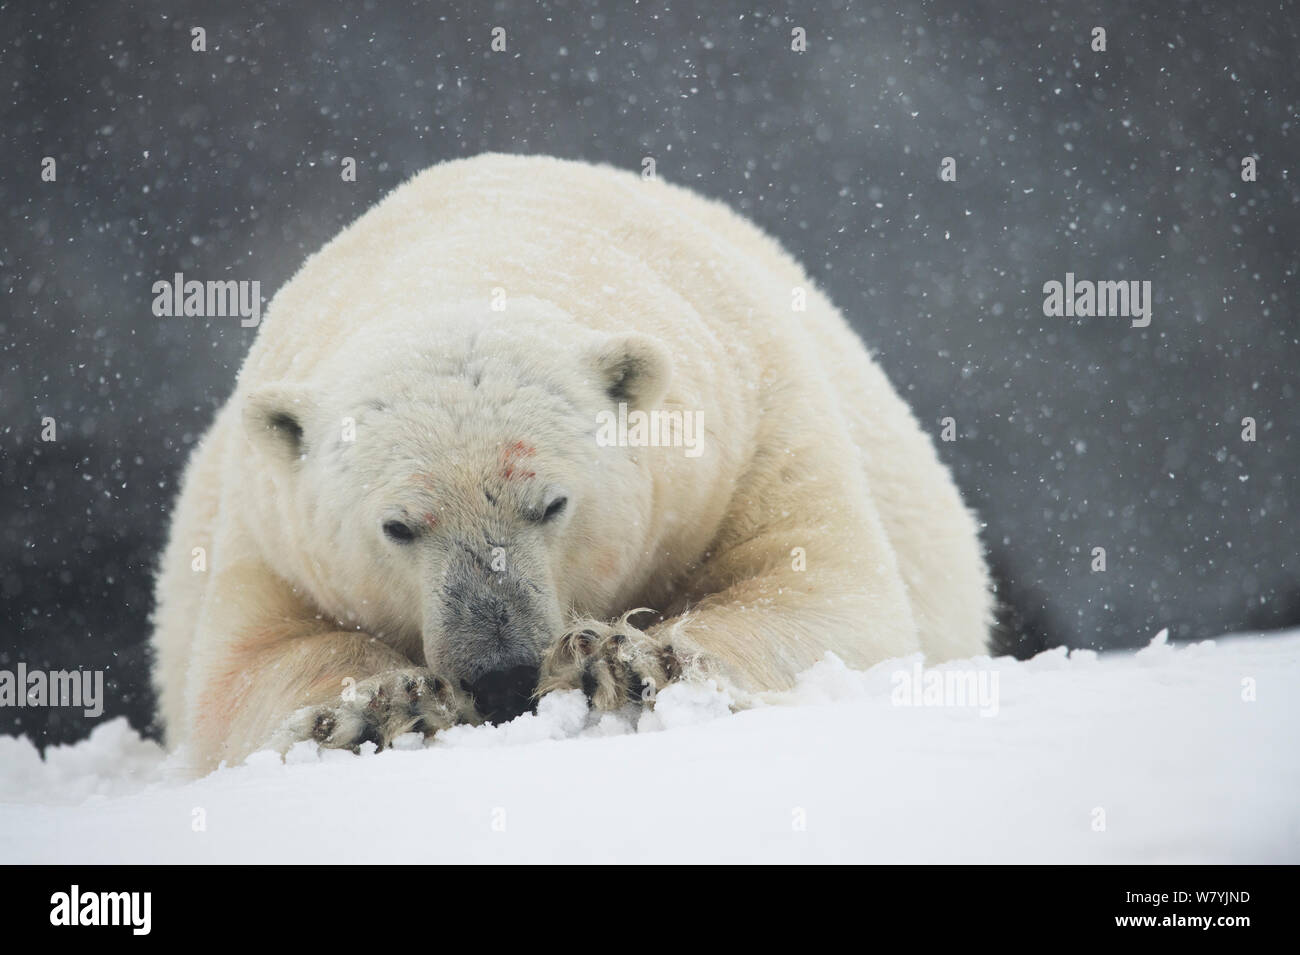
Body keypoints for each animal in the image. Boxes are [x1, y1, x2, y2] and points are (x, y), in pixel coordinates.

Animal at [150, 153, 993, 773]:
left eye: (551, 504)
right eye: (398, 526)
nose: (500, 675)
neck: (483, 245)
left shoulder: (752, 426)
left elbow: (825, 593)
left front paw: (621, 659)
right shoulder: (268, 527)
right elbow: (244, 665)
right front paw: (385, 704)